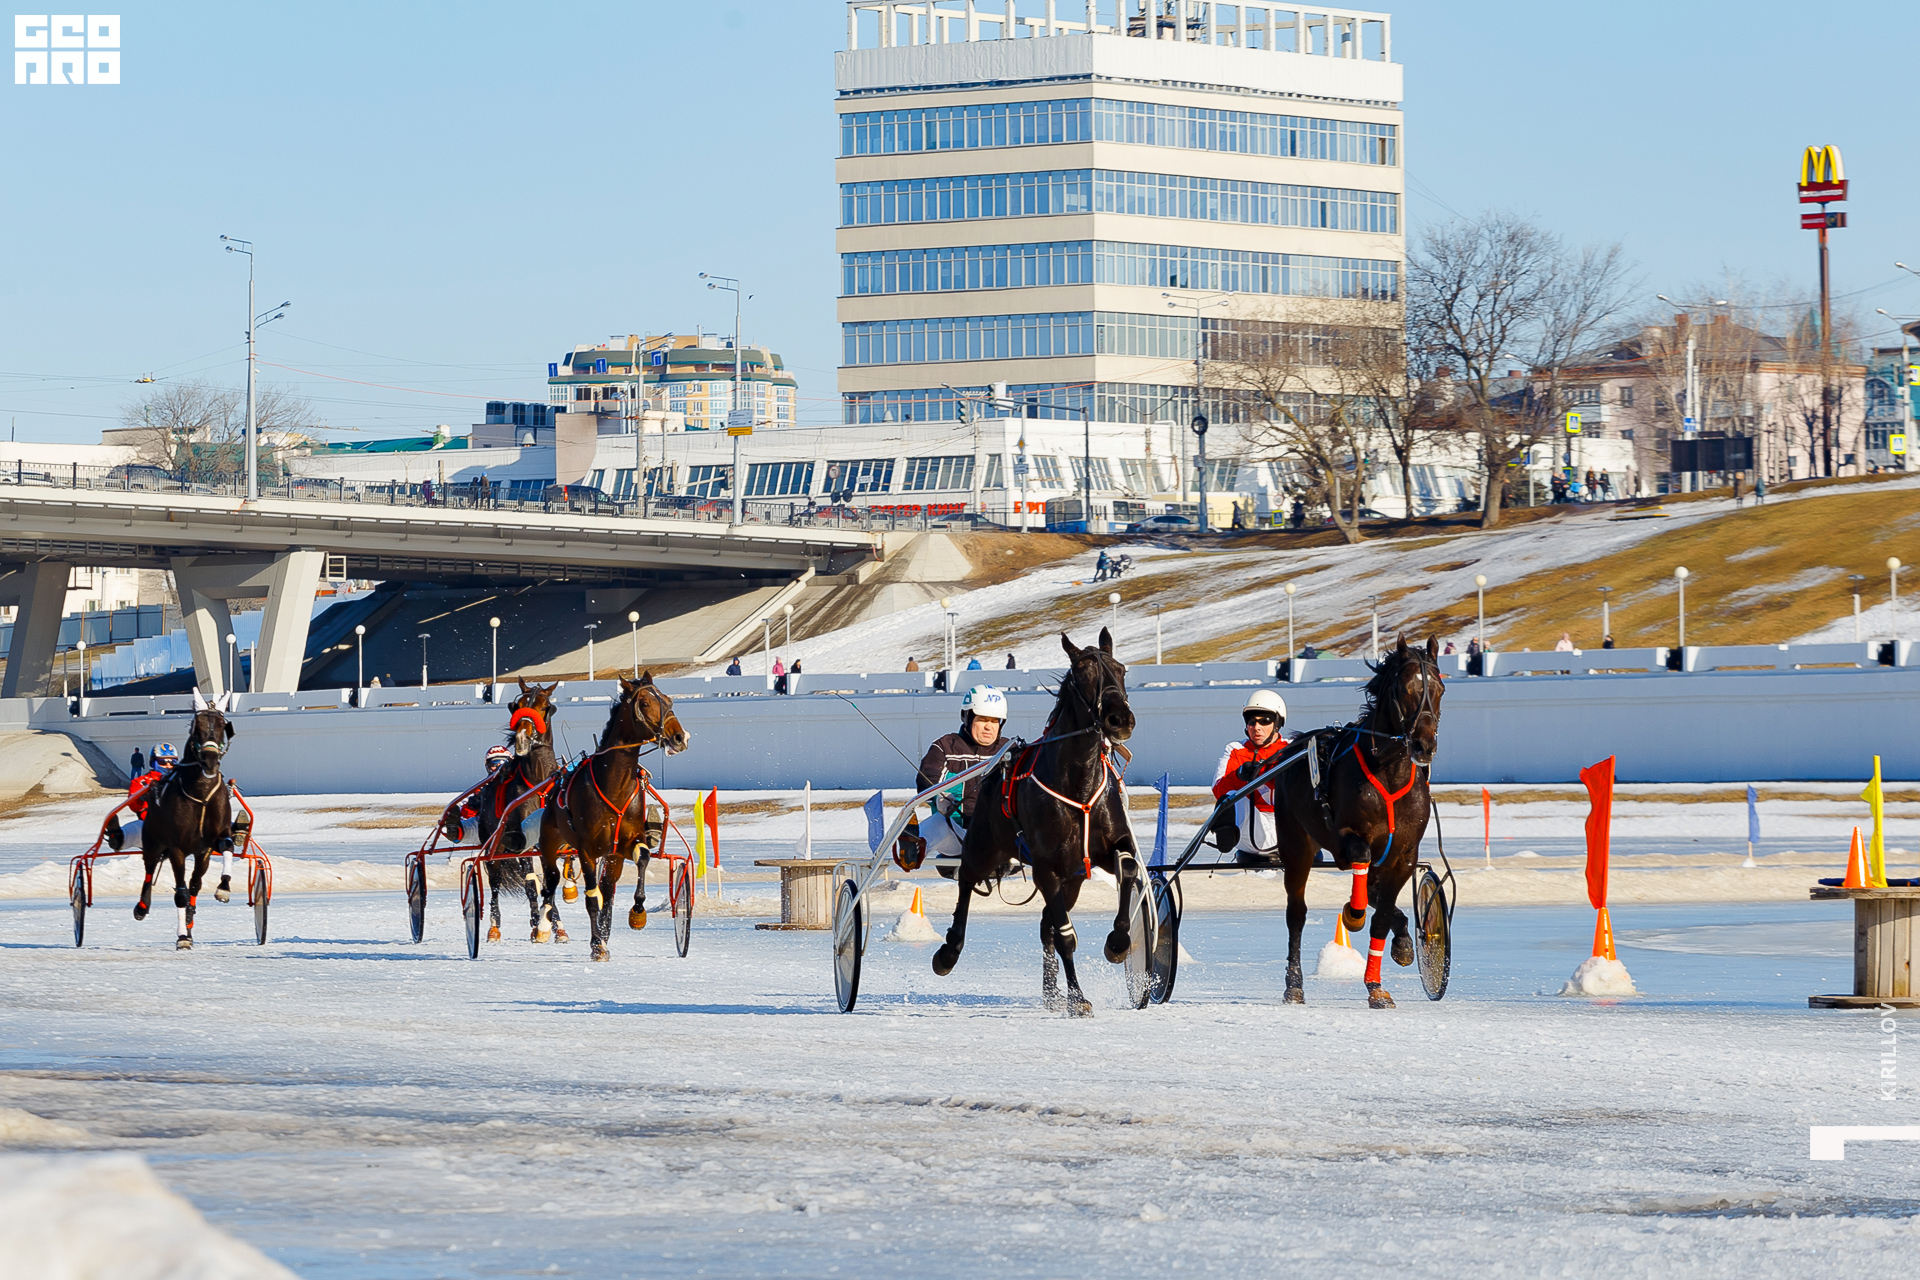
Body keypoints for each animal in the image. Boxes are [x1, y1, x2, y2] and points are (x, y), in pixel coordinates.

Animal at [126, 692, 244, 949]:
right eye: (197, 727)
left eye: (222, 726)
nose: (210, 761)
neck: (201, 793)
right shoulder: (177, 848)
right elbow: (180, 893)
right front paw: (182, 937)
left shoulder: (210, 844)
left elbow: (227, 847)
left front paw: (224, 887)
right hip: (152, 841)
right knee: (150, 869)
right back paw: (143, 906)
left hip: (199, 855)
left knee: (194, 884)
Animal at [440, 678, 565, 942]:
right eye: (517, 705)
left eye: (545, 706)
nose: (521, 738)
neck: (537, 783)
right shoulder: (522, 840)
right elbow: (530, 884)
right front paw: (538, 925)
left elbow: (548, 881)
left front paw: (556, 926)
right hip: (493, 843)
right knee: (495, 880)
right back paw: (494, 927)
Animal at [532, 674, 689, 960]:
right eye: (645, 703)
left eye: (668, 700)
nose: (679, 737)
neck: (615, 786)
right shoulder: (586, 849)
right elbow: (591, 897)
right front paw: (597, 945)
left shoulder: (625, 843)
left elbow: (643, 858)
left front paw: (636, 912)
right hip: (550, 841)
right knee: (551, 882)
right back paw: (544, 926)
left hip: (611, 855)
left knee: (606, 886)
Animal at [932, 629, 1138, 1016]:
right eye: (1084, 674)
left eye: (1121, 669)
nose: (1120, 719)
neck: (1077, 782)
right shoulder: (1046, 866)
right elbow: (1066, 936)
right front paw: (1077, 998)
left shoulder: (1102, 850)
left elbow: (1129, 867)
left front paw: (1118, 943)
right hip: (985, 847)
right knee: (966, 880)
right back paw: (948, 951)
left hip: (1072, 878)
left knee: (1046, 925)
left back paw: (1052, 992)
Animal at [1255, 635, 1444, 1009]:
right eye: (1404, 688)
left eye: (1440, 688)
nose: (1424, 745)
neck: (1388, 772)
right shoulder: (1347, 836)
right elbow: (1360, 863)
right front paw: (1353, 915)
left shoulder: (1405, 854)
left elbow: (1382, 916)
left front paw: (1378, 982)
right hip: (1296, 846)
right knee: (1296, 913)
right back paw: (1293, 985)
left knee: (1374, 893)